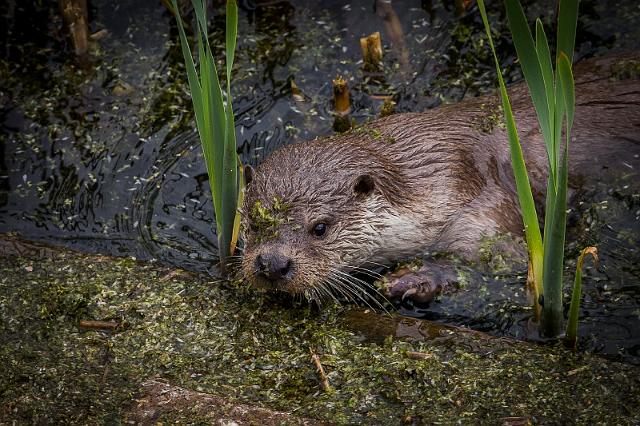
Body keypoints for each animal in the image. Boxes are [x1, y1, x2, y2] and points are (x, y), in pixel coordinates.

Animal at [240, 54, 640, 302]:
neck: (437, 177)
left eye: (320, 228)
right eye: (253, 223)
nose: (272, 264)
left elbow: (504, 260)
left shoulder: (490, 210)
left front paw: (413, 279)